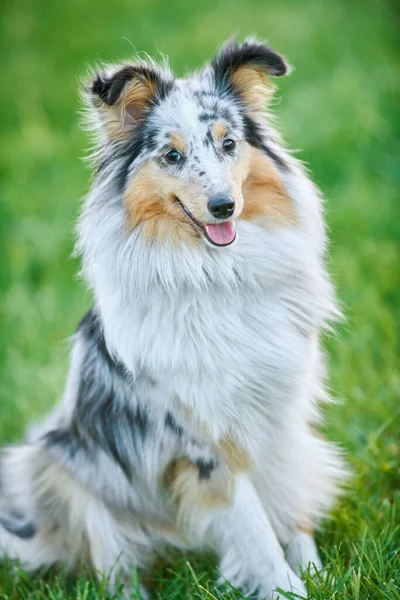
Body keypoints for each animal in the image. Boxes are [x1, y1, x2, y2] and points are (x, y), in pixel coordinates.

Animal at [0, 39, 346, 596]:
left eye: (229, 144)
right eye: (172, 156)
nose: (224, 207)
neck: (218, 276)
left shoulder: (280, 416)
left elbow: (289, 505)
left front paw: (316, 573)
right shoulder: (203, 442)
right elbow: (253, 528)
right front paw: (287, 587)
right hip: (57, 463)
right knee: (112, 561)